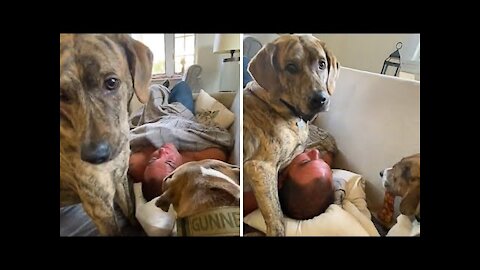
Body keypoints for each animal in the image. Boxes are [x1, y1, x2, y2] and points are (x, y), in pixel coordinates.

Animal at [60, 34, 153, 236]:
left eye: (111, 82)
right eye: (62, 95)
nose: (94, 156)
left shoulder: (120, 180)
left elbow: (131, 211)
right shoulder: (100, 208)